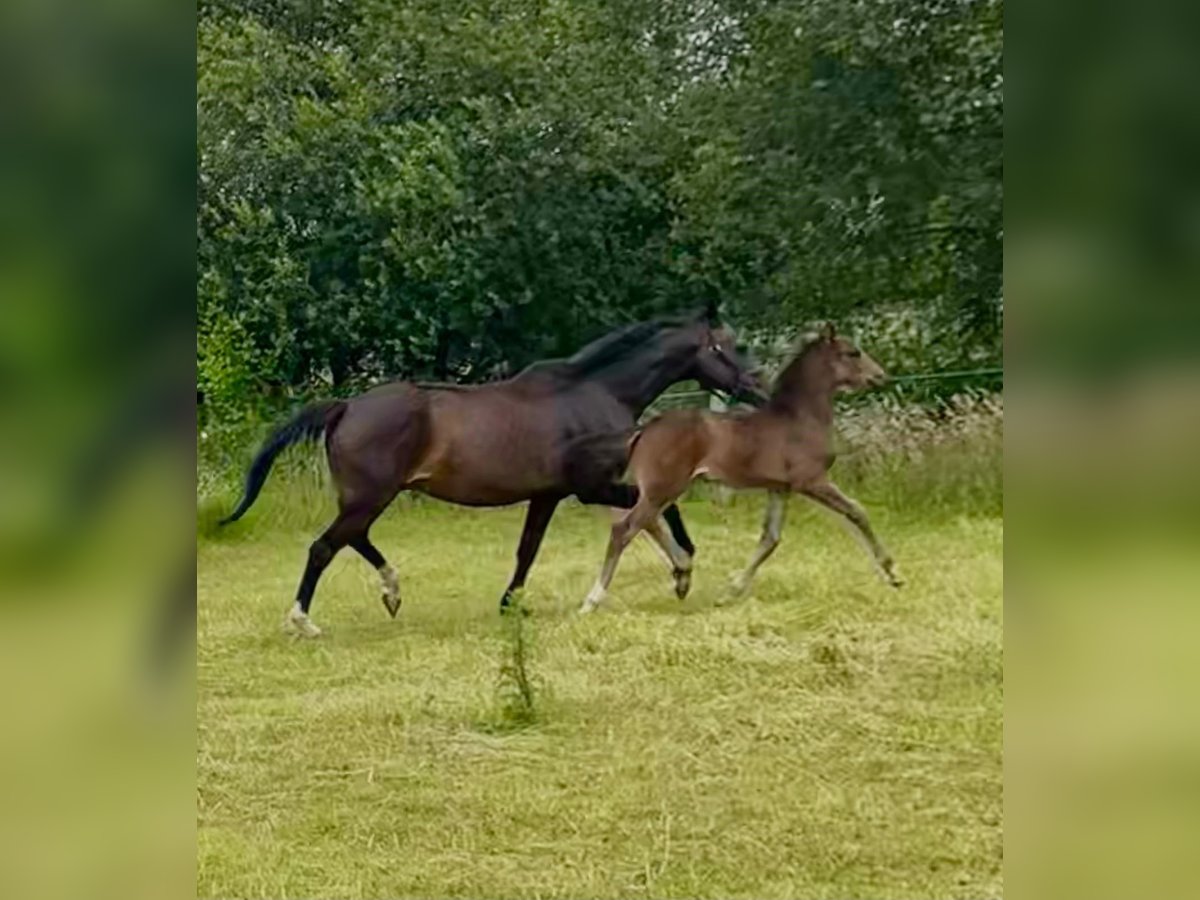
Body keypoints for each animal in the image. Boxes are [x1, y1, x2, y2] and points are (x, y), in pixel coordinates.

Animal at [218, 309, 758, 633]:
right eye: (726, 347)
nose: (757, 385)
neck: (594, 391)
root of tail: (345, 407)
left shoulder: (549, 493)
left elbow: (529, 550)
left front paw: (510, 603)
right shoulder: (589, 486)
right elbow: (659, 510)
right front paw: (684, 568)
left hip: (367, 498)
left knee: (353, 540)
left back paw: (392, 592)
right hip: (371, 496)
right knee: (325, 547)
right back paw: (304, 620)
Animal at [578, 324, 902, 614]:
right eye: (853, 352)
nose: (881, 376)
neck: (799, 418)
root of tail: (644, 430)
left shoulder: (780, 489)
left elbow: (770, 539)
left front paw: (730, 592)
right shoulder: (812, 481)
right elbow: (857, 511)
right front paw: (892, 572)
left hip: (657, 491)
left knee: (646, 523)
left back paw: (681, 577)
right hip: (663, 489)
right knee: (624, 529)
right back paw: (592, 600)